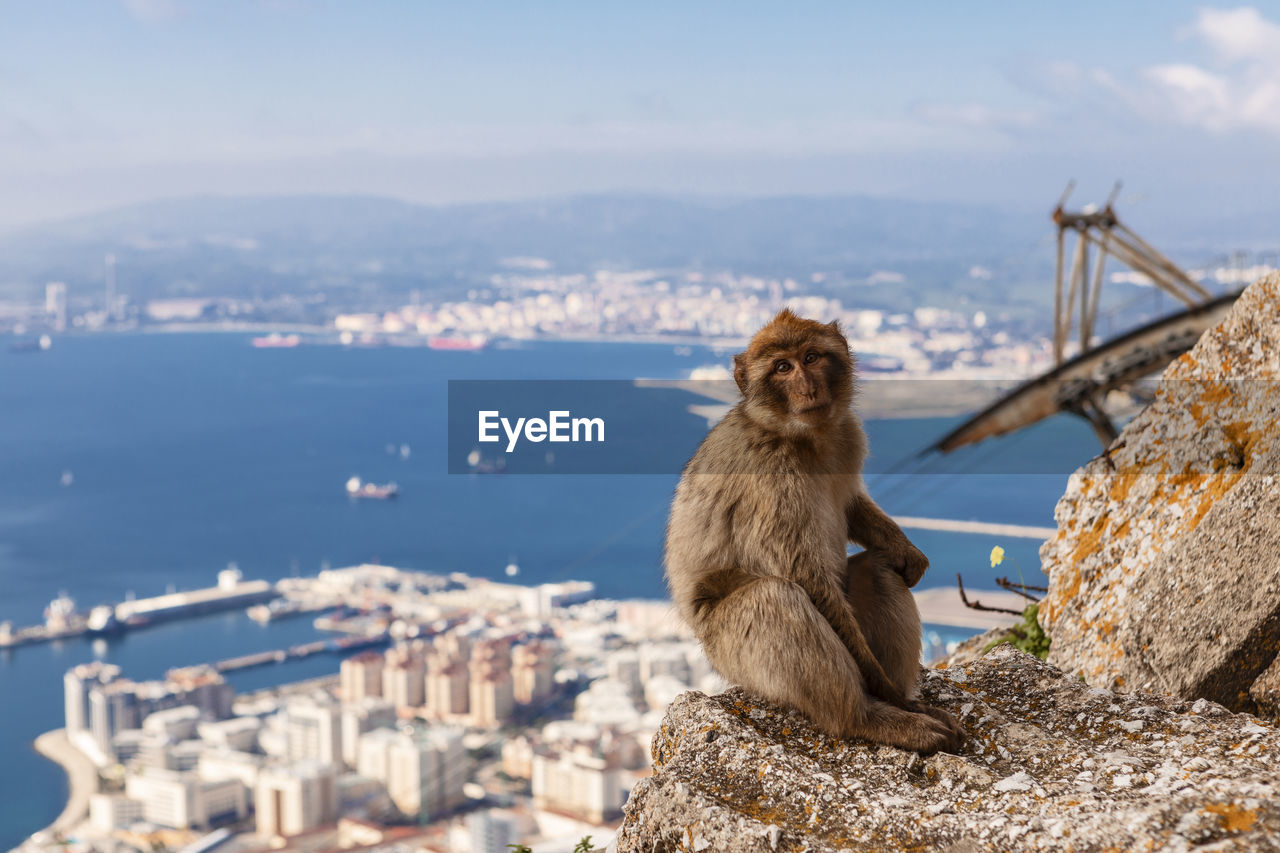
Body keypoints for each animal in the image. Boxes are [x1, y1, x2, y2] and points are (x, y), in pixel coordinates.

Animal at [670, 308, 962, 753]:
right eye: (782, 368)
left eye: (810, 358)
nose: (808, 388)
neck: (801, 437)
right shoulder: (770, 476)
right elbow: (803, 576)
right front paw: (886, 694)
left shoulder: (848, 436)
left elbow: (852, 504)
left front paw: (906, 551)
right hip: (730, 653)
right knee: (775, 597)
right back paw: (873, 716)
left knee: (878, 570)